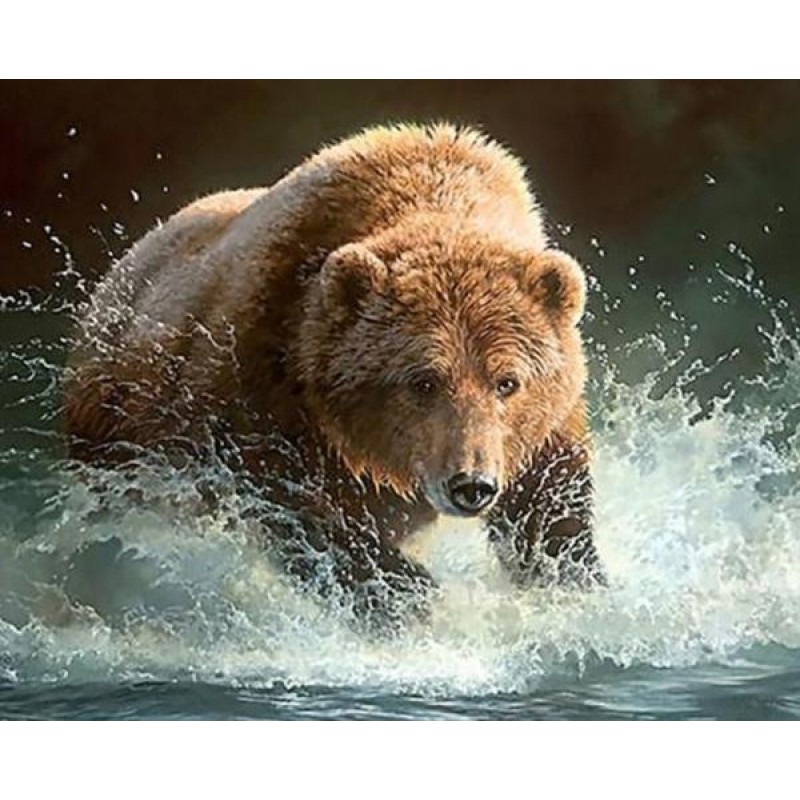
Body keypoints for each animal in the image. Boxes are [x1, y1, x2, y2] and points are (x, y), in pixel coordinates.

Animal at [64, 123, 604, 634]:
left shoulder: (541, 427)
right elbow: (289, 501)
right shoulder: (263, 378)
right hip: (114, 424)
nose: (471, 485)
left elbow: (548, 505)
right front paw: (403, 591)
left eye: (507, 381)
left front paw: (575, 580)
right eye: (424, 381)